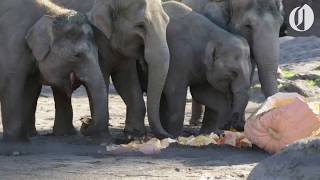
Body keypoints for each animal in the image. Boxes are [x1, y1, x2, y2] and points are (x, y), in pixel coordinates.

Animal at [0, 0, 109, 141]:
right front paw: (18, 141)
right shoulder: (12, 44)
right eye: (77, 55)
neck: (51, 13)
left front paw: (26, 138)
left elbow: (29, 88)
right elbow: (12, 84)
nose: (85, 120)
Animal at [45, 0, 171, 139]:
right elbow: (103, 78)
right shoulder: (97, 40)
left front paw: (133, 134)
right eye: (140, 25)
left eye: (167, 22)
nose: (85, 122)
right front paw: (102, 135)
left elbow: (126, 80)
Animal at [138, 1, 252, 136]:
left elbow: (201, 93)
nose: (237, 126)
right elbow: (175, 91)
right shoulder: (178, 56)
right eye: (233, 73)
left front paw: (209, 133)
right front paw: (176, 135)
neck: (215, 36)